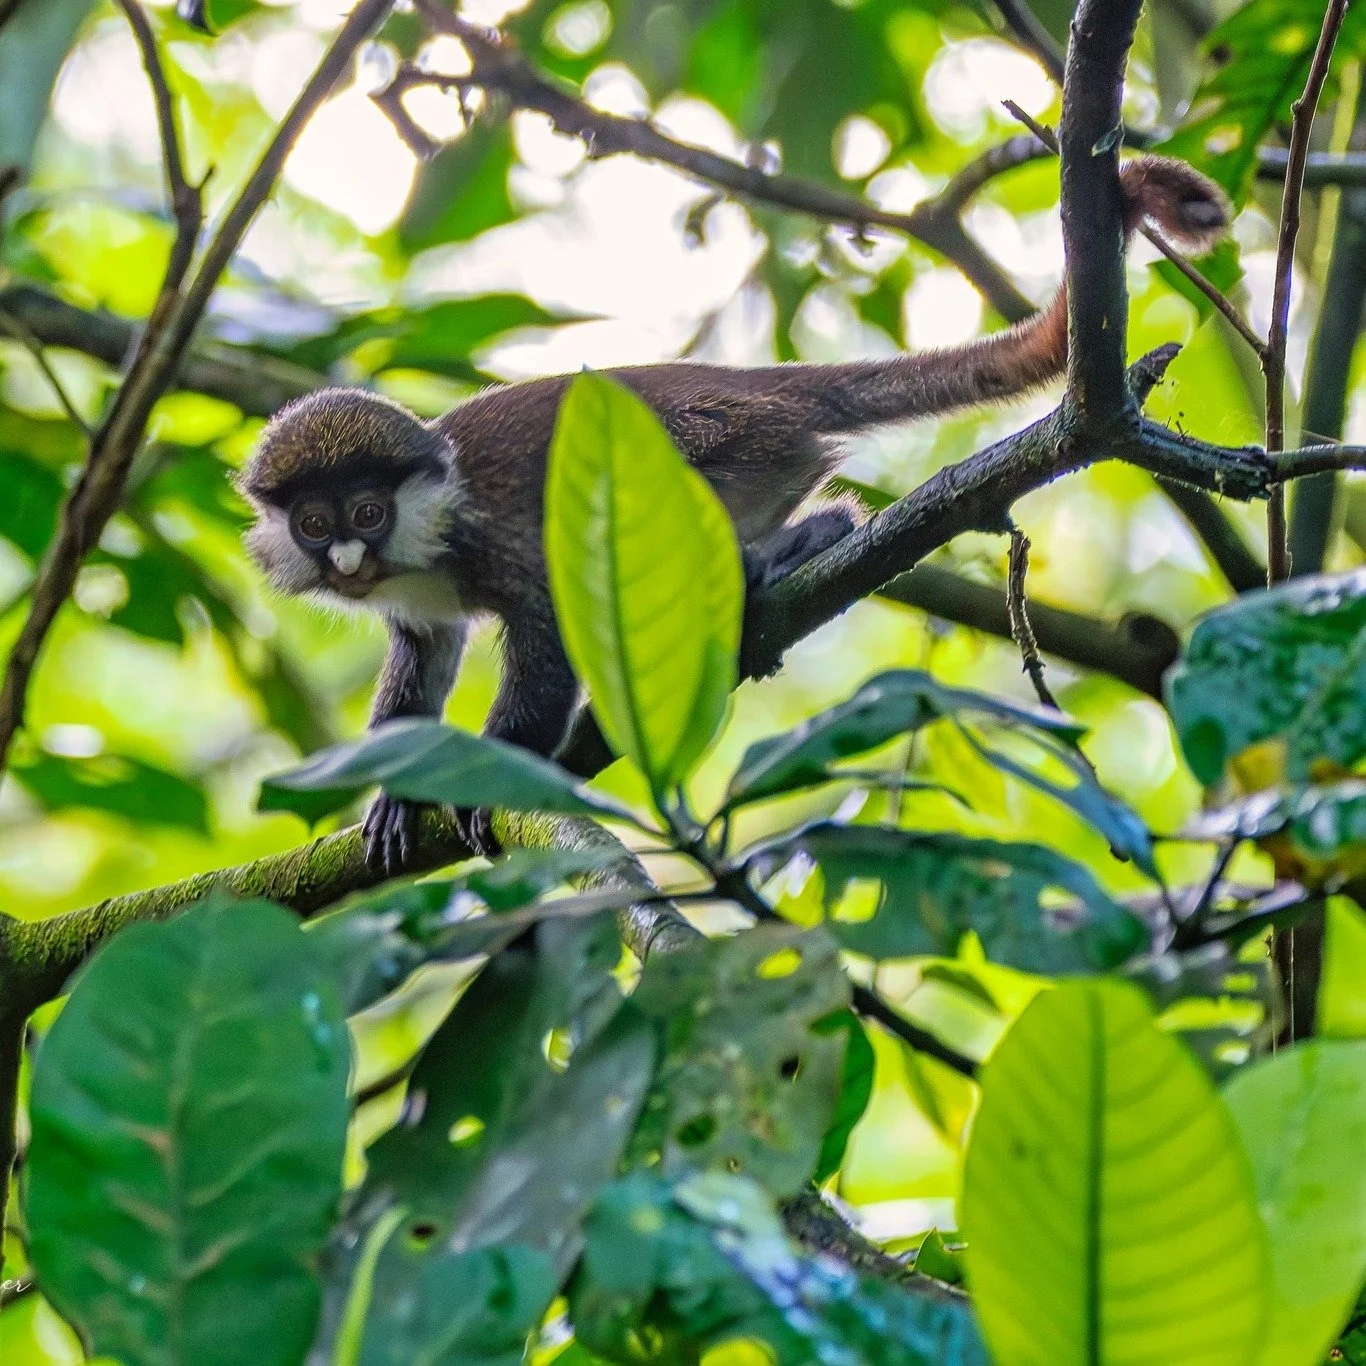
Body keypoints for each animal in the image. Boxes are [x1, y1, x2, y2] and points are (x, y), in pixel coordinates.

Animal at [238, 154, 1227, 873]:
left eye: (368, 510)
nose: (346, 562)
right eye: (317, 524)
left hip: (739, 440)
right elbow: (423, 652)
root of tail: (757, 384)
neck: (423, 532)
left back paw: (794, 550)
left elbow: (548, 632)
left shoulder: (491, 540)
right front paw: (396, 792)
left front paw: (490, 778)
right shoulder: (416, 600)